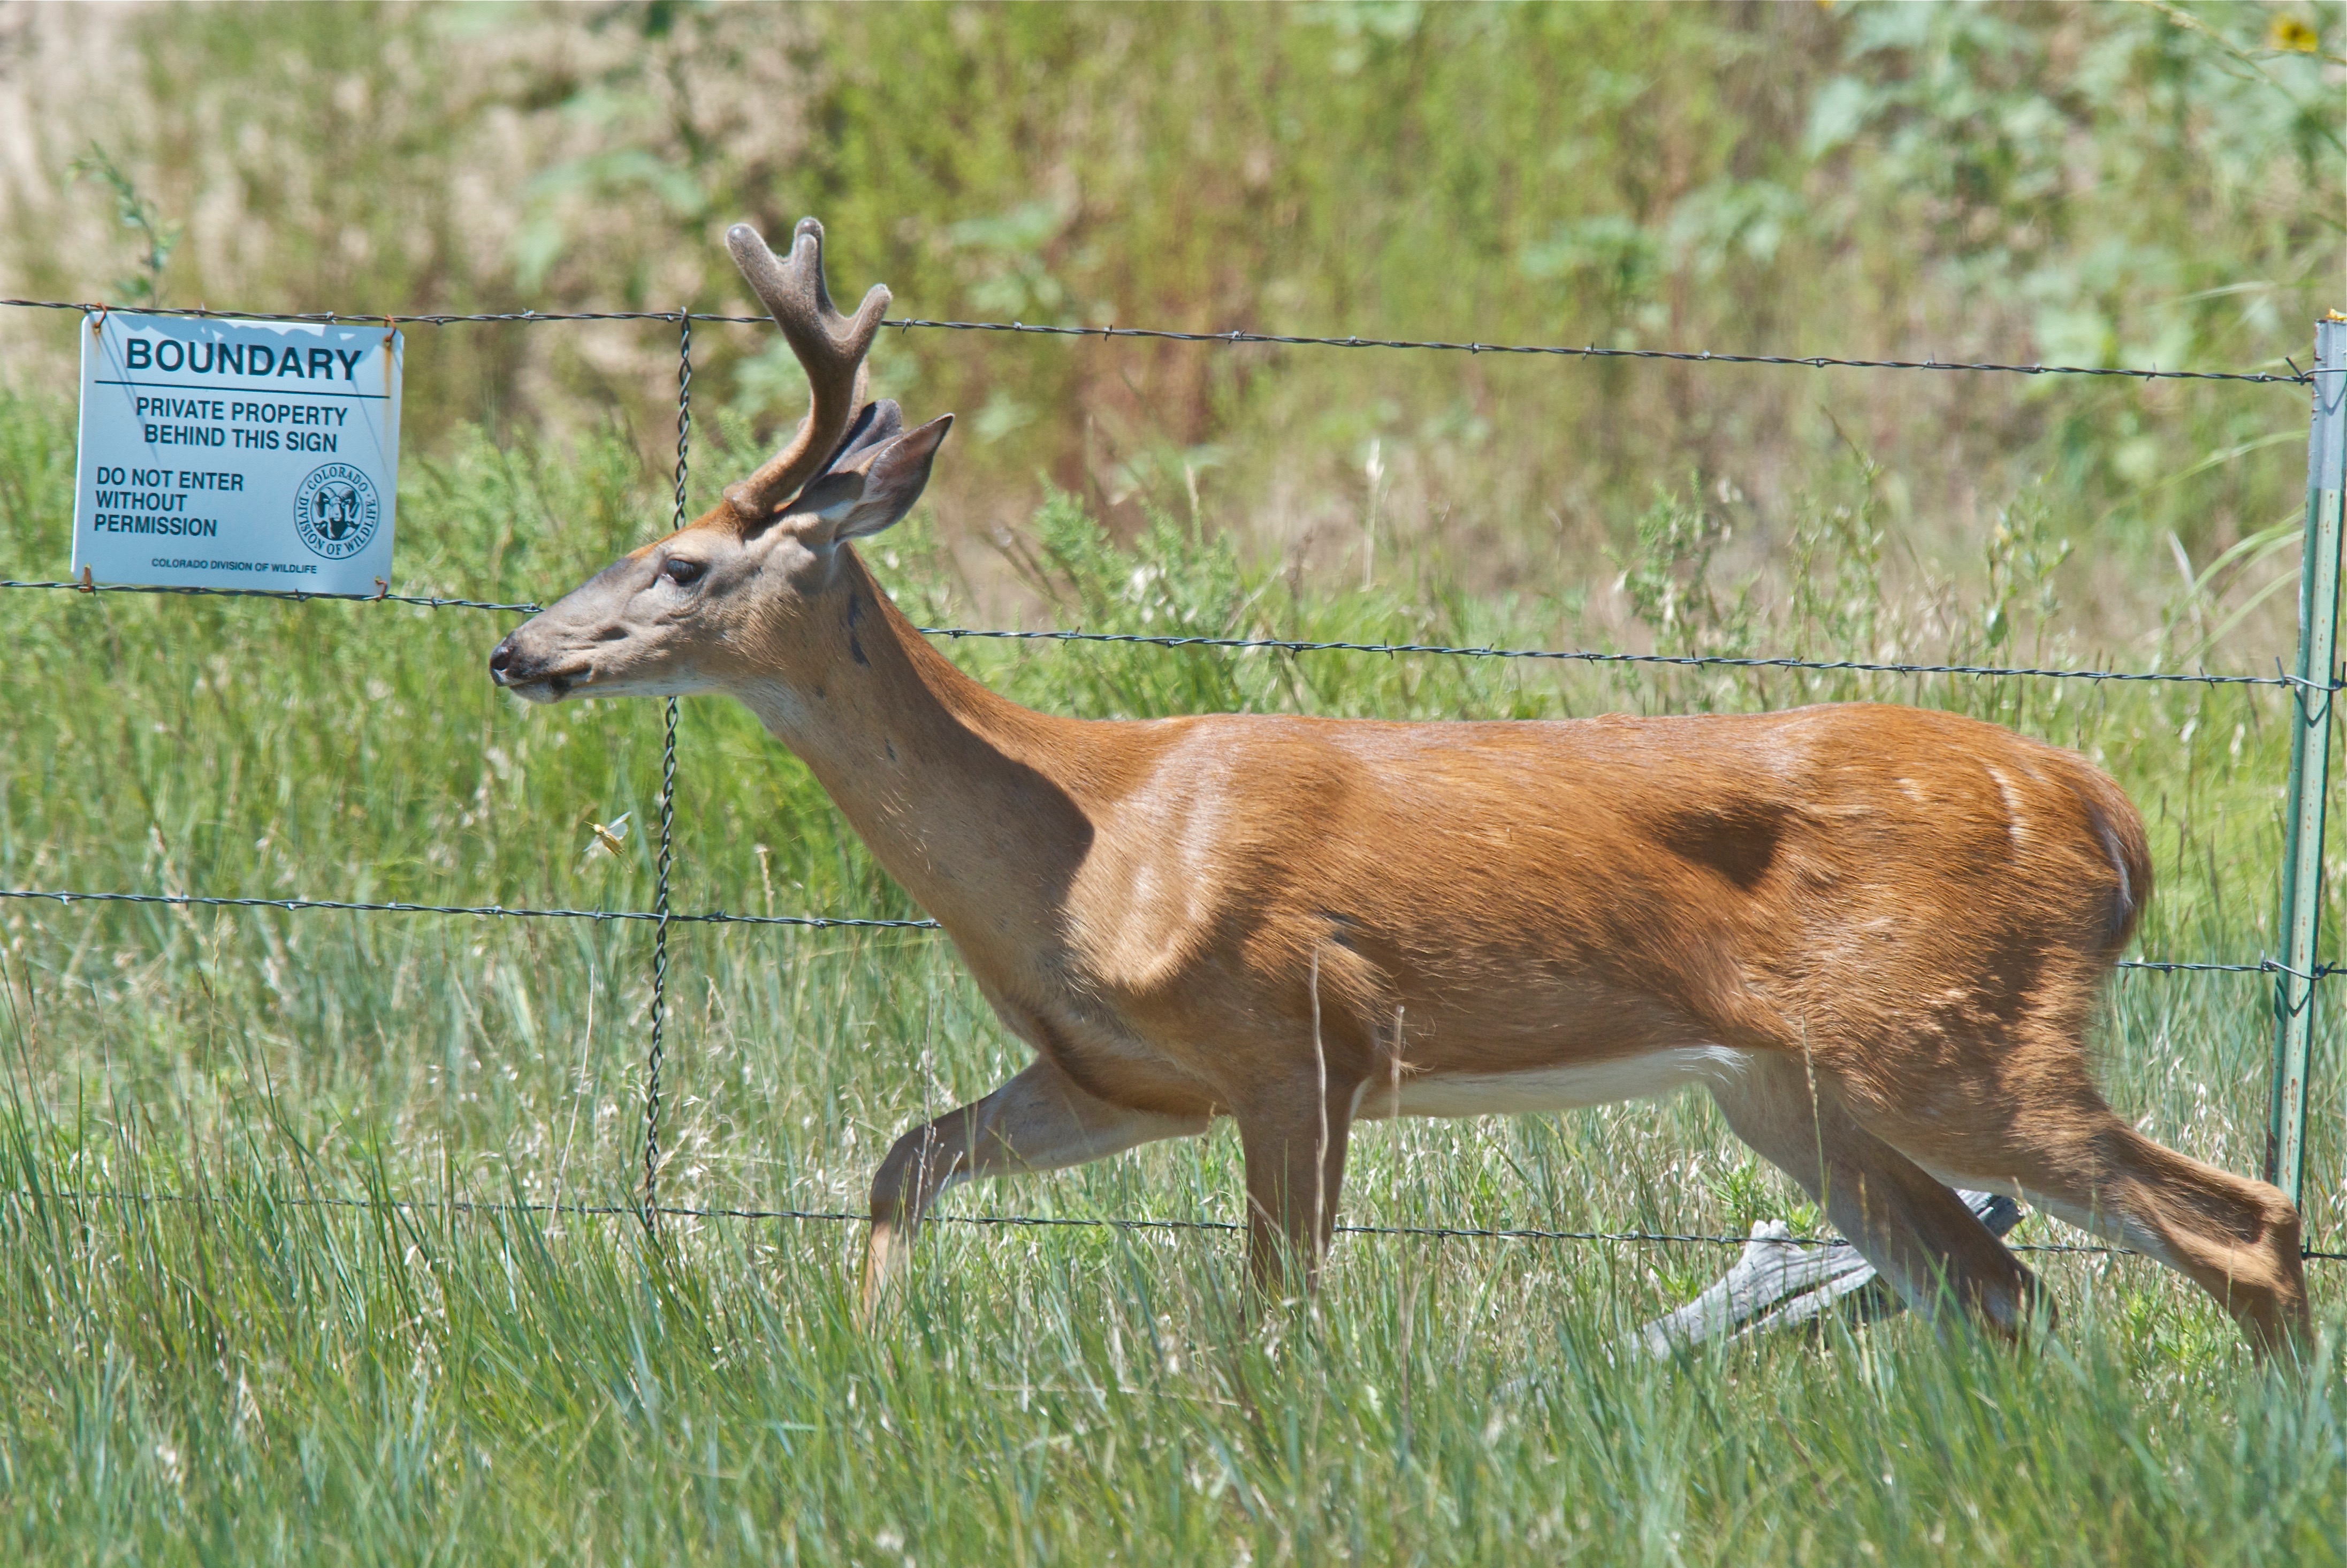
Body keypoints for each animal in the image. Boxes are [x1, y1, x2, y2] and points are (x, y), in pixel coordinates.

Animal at [490, 220, 2309, 1361]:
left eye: (680, 562)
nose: (518, 649)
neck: (1089, 836)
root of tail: (2104, 810)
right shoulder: (1124, 1077)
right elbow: (903, 1157)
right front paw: (861, 1372)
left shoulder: (1299, 1038)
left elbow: (1278, 1314)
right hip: (1793, 1085)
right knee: (1998, 1284)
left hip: (1954, 1037)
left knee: (2235, 1216)